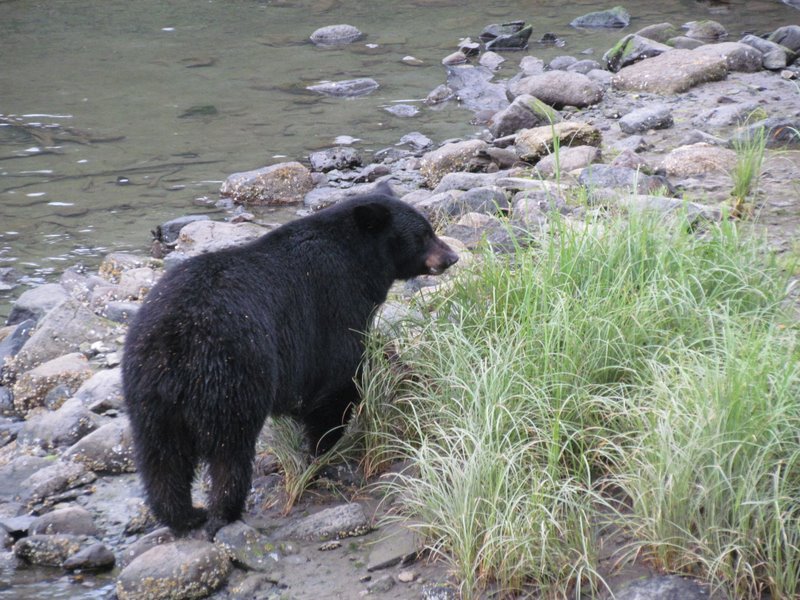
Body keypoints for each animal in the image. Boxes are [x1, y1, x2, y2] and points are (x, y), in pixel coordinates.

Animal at [121, 185, 458, 535]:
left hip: (147, 392)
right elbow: (337, 384)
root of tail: (174, 343)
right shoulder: (337, 306)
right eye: (423, 235)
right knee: (230, 449)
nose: (452, 257)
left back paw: (183, 515)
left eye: (430, 229)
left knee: (160, 457)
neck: (359, 259)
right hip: (233, 373)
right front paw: (324, 453)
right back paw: (224, 511)